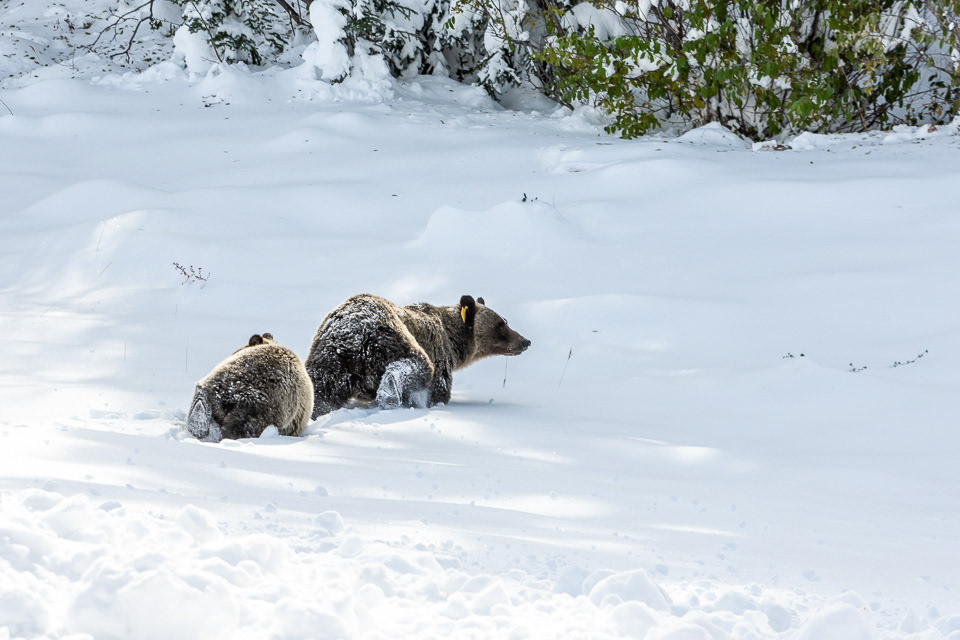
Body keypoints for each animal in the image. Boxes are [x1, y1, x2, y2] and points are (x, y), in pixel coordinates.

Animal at [304, 294, 531, 418]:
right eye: (501, 325)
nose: (525, 341)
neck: (453, 343)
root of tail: (354, 337)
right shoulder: (439, 356)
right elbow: (439, 391)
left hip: (328, 359)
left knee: (320, 392)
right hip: (391, 335)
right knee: (415, 364)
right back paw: (390, 392)